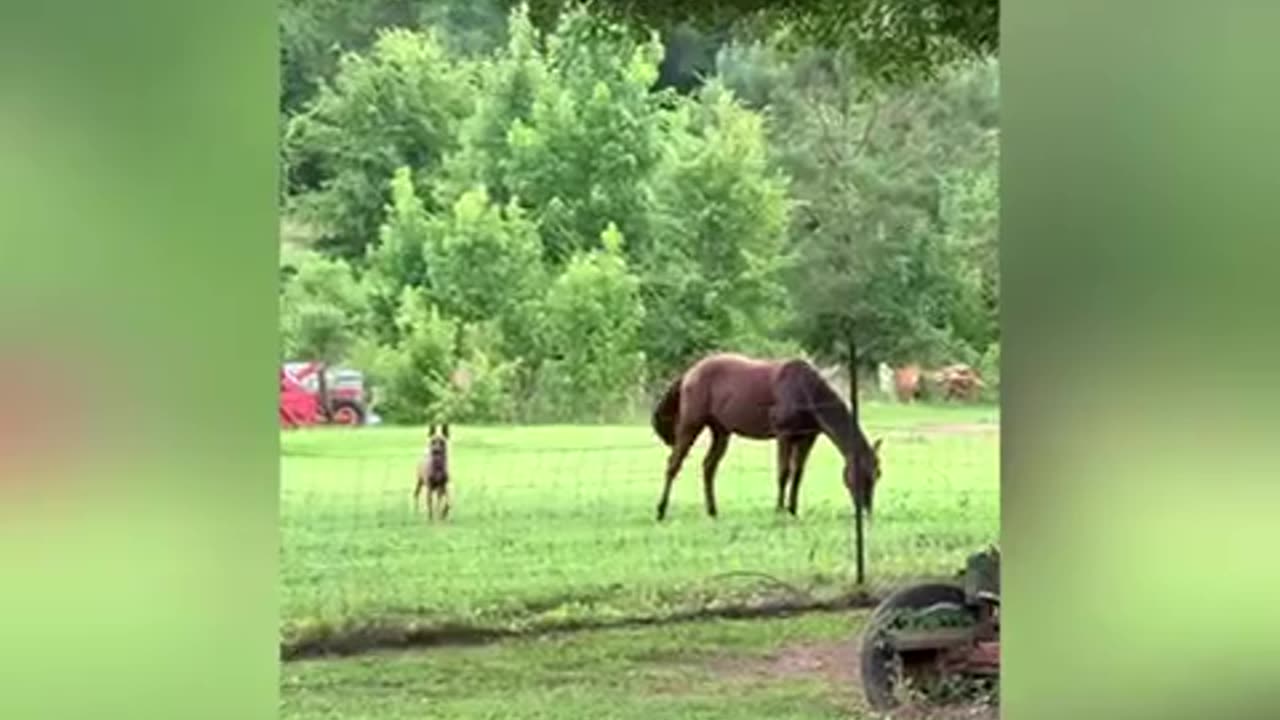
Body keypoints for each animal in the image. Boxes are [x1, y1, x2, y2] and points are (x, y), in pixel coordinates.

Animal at [650, 351, 880, 515]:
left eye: (877, 474)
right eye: (860, 474)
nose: (866, 510)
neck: (804, 390)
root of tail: (689, 373)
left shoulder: (807, 438)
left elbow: (798, 474)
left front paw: (793, 510)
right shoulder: (784, 435)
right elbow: (784, 472)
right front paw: (779, 509)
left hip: (721, 432)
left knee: (708, 467)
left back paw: (712, 511)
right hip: (691, 425)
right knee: (674, 464)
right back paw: (661, 510)